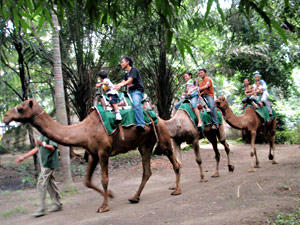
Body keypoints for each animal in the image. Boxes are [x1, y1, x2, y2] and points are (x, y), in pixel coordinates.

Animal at [2, 98, 180, 213]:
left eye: (20, 108)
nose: (5, 116)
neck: (84, 130)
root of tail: (158, 116)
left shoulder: (103, 152)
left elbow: (104, 179)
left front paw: (104, 206)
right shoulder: (93, 154)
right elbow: (86, 181)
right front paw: (111, 195)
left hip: (162, 135)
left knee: (175, 163)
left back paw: (176, 190)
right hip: (145, 144)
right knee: (147, 171)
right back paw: (134, 197)